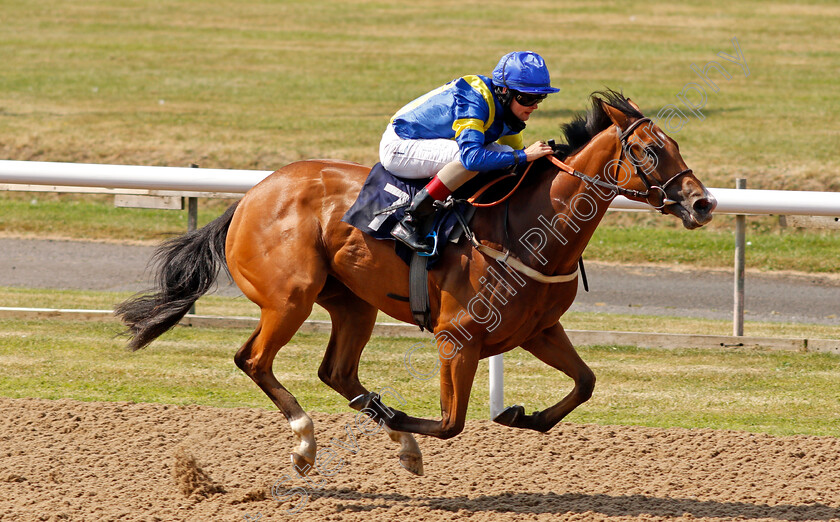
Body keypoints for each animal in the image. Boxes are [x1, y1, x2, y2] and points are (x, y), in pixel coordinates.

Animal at [113, 90, 716, 476]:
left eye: (677, 146)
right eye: (650, 150)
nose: (703, 203)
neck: (528, 227)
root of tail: (252, 194)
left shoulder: (538, 330)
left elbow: (585, 383)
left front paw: (521, 415)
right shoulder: (458, 338)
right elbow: (451, 423)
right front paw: (405, 418)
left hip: (353, 304)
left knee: (336, 371)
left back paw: (390, 434)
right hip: (290, 298)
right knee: (255, 360)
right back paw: (309, 441)